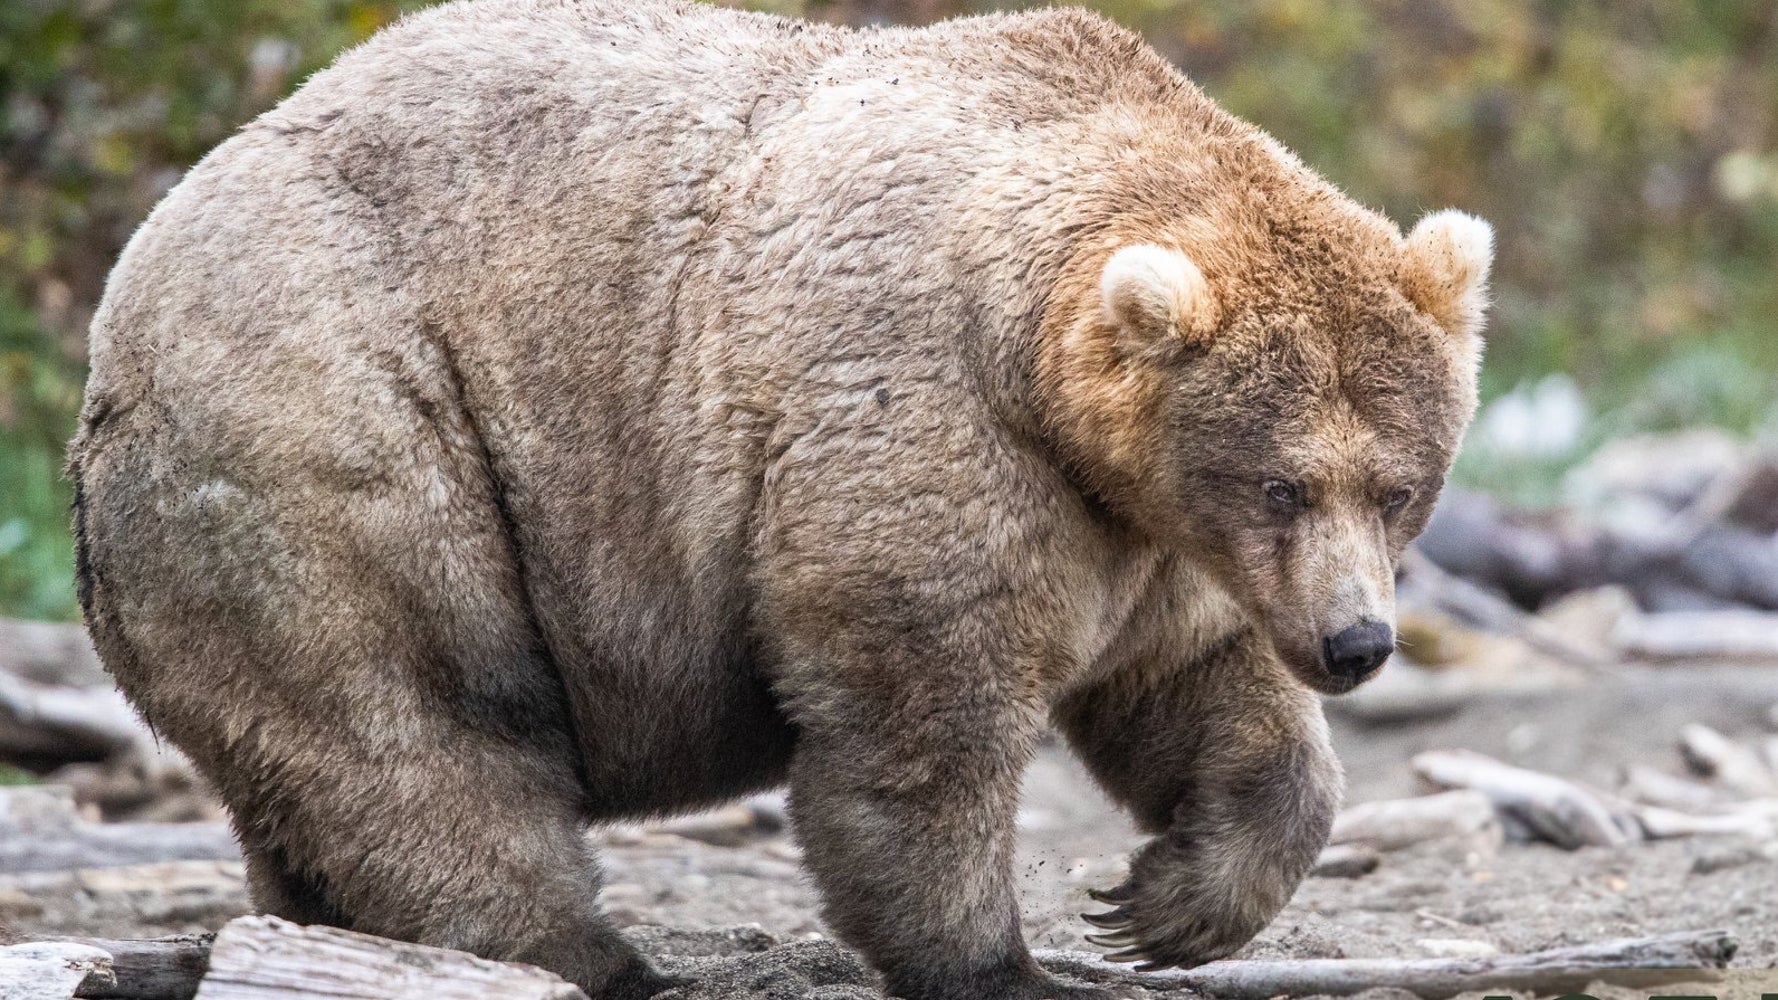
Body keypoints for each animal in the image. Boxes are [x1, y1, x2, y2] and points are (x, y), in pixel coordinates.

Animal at [69, 1, 1486, 996]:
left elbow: (1194, 685)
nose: (1356, 643)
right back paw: (594, 959)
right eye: (1281, 480)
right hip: (344, 426)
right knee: (419, 721)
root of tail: (124, 299)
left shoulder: (1144, 529)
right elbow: (919, 717)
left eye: (1398, 485)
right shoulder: (926, 422)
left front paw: (1164, 903)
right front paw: (1003, 962)